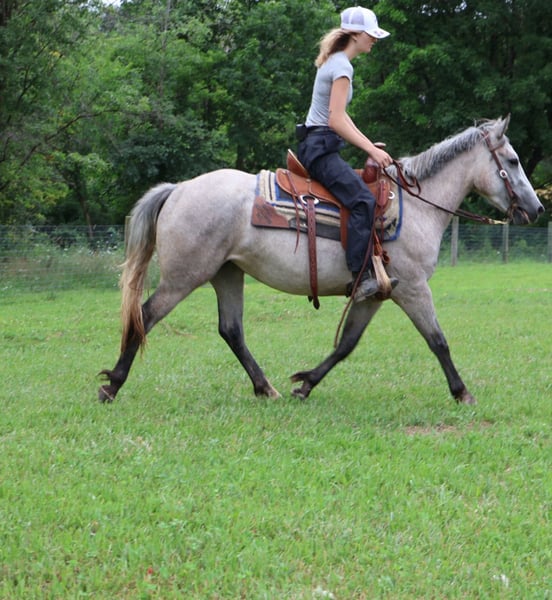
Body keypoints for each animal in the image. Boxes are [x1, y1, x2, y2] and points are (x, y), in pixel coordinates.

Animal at [98, 116, 544, 405]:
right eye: (513, 161)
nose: (537, 209)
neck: (415, 206)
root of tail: (178, 189)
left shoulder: (375, 293)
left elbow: (346, 344)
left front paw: (306, 383)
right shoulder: (414, 289)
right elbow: (438, 340)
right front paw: (462, 391)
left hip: (226, 274)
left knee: (231, 331)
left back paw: (266, 388)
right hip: (184, 277)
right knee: (145, 315)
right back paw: (112, 385)